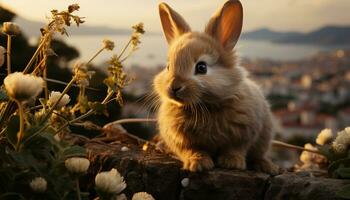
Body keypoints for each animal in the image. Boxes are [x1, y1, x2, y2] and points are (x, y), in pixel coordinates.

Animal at [153, 0, 278, 175]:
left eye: (201, 67)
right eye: (168, 67)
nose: (174, 87)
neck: (205, 106)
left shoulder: (243, 134)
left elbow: (235, 149)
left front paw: (232, 163)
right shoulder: (183, 141)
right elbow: (193, 150)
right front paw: (198, 164)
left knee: (259, 155)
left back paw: (268, 167)